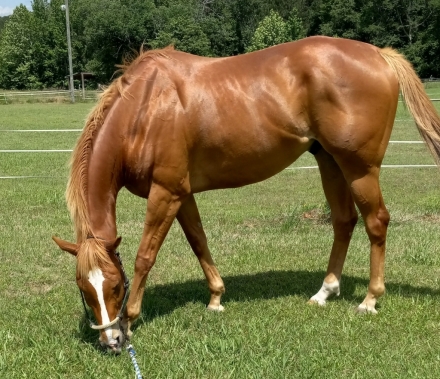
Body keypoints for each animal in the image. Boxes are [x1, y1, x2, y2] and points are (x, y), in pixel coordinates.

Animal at [54, 36, 440, 354]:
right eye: (84, 289)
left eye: (115, 287)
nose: (111, 341)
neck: (145, 108)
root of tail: (379, 54)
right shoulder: (182, 193)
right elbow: (199, 241)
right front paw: (215, 297)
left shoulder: (166, 192)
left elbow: (145, 256)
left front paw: (132, 319)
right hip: (330, 161)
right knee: (344, 221)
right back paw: (324, 292)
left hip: (359, 168)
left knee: (376, 222)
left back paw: (370, 299)